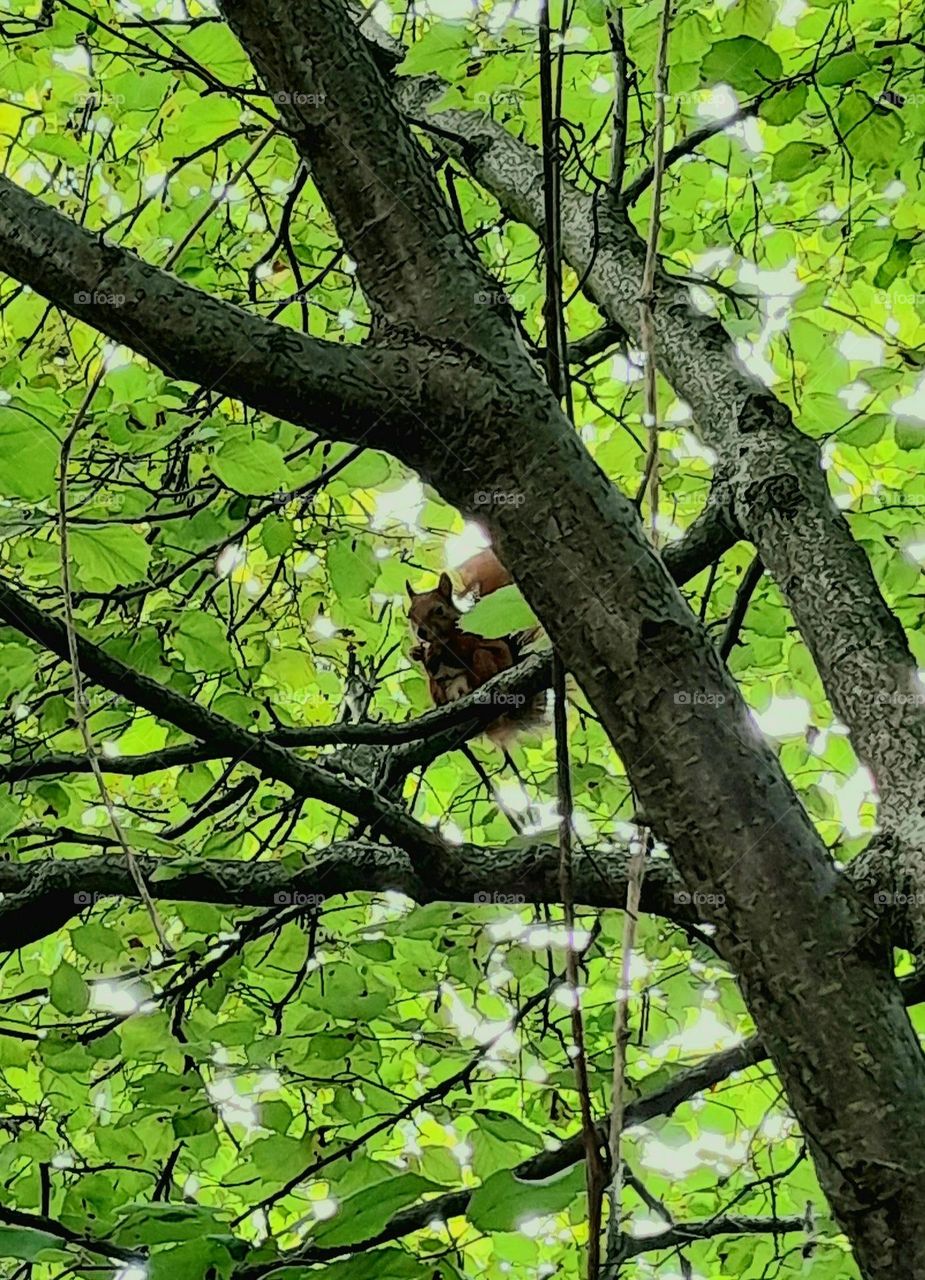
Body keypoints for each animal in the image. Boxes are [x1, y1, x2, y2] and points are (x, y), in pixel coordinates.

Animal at [406, 548, 545, 744]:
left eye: (439, 610)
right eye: (409, 615)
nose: (421, 633)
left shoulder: (473, 637)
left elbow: (464, 647)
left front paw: (437, 649)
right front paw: (416, 652)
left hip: (485, 660)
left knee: (480, 659)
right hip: (437, 688)